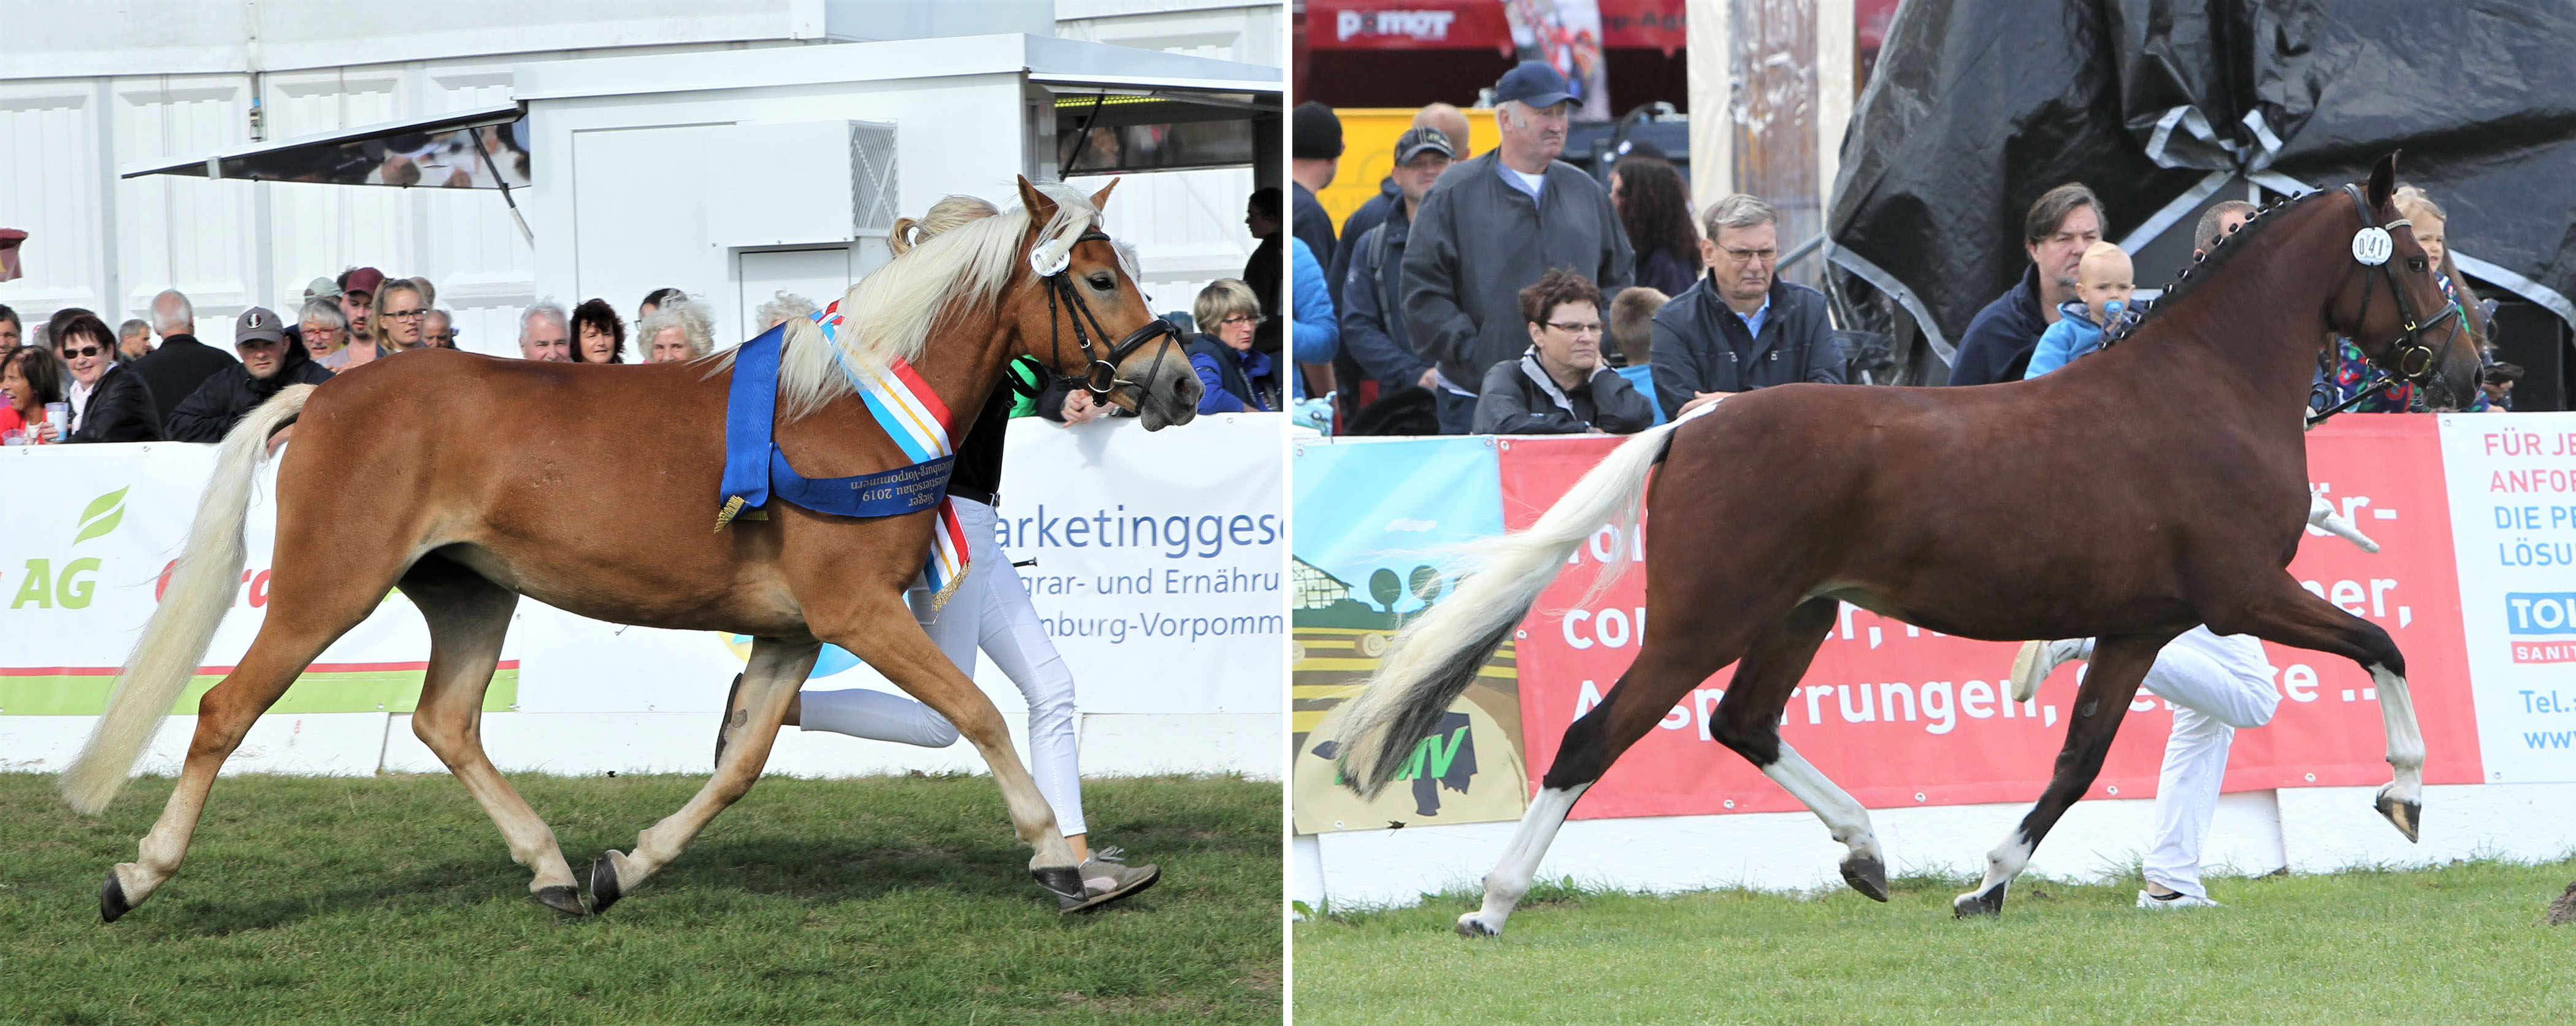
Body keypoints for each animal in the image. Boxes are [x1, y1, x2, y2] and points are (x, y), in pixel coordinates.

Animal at [50, 178, 1195, 922]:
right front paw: (1059, 859)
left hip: (471, 594)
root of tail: (324, 393)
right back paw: (136, 875)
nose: (1181, 383)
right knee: (223, 711)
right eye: (1098, 280)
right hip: (325, 588)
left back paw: (554, 869)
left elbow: (740, 765)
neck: (846, 412)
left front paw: (627, 864)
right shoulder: (856, 611)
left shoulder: (789, 633)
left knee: (445, 721)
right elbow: (977, 712)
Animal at [1329, 154, 2472, 938]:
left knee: (1743, 724)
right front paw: (2405, 795)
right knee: (1593, 739)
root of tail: (1694, 419)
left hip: (1797, 614)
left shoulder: (2138, 626)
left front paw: (1986, 884)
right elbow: (2382, 645)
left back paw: (1868, 852)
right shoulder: (2242, 592)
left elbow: (2077, 759)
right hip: (1703, 622)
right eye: (2416, 260)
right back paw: (1491, 904)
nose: (2468, 368)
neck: (2208, 390)